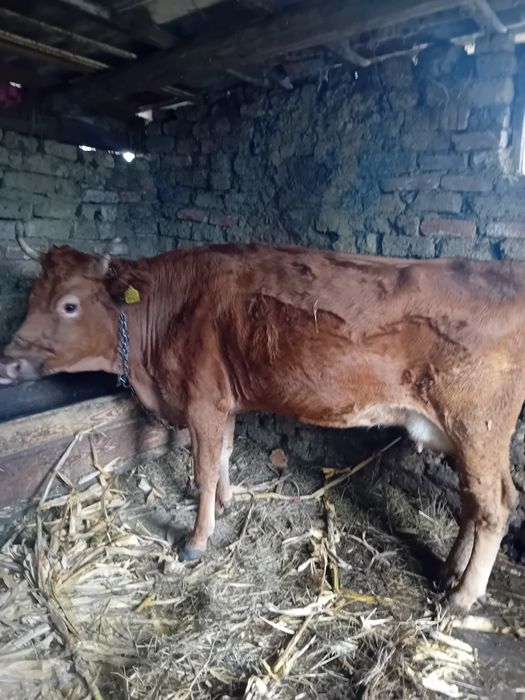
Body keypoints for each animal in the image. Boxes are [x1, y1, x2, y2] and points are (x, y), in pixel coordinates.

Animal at [0, 234, 522, 615]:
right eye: (31, 296)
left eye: (69, 304)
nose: (8, 362)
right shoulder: (222, 401)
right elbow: (225, 454)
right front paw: (226, 503)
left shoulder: (202, 401)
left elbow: (203, 468)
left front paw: (196, 540)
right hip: (463, 436)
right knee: (473, 502)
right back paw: (449, 571)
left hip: (478, 427)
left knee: (494, 506)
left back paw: (462, 595)